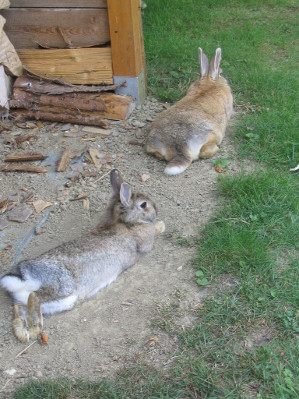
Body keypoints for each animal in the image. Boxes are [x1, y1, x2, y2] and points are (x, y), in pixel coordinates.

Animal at [0, 170, 166, 344]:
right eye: (144, 205)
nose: (157, 210)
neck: (124, 222)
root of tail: (21, 274)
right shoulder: (145, 242)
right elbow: (155, 233)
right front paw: (161, 225)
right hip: (61, 285)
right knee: (35, 295)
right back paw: (35, 328)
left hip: (61, 301)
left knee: (20, 308)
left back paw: (25, 333)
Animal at [146, 47, 234, 175]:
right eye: (221, 73)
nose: (225, 78)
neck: (208, 82)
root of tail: (179, 149)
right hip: (211, 135)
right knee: (204, 152)